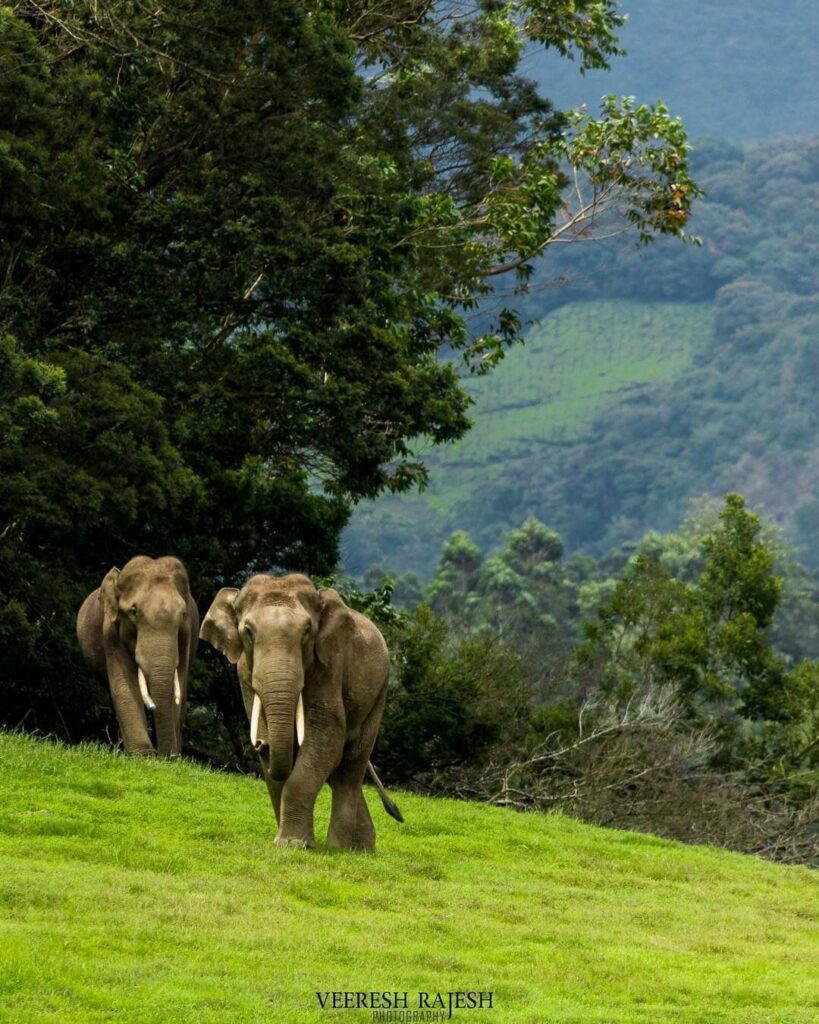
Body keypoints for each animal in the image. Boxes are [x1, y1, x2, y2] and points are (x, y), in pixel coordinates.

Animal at [77, 555, 199, 757]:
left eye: (182, 614)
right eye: (133, 612)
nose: (164, 756)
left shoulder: (187, 635)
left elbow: (178, 685)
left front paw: (171, 757)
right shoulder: (111, 633)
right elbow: (124, 685)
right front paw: (143, 756)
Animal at [200, 573, 402, 850]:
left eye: (307, 631)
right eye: (248, 631)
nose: (261, 745)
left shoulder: (328, 665)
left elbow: (326, 735)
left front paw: (293, 844)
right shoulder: (244, 672)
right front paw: (287, 840)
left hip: (378, 694)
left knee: (350, 767)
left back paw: (340, 848)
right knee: (339, 770)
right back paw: (361, 848)